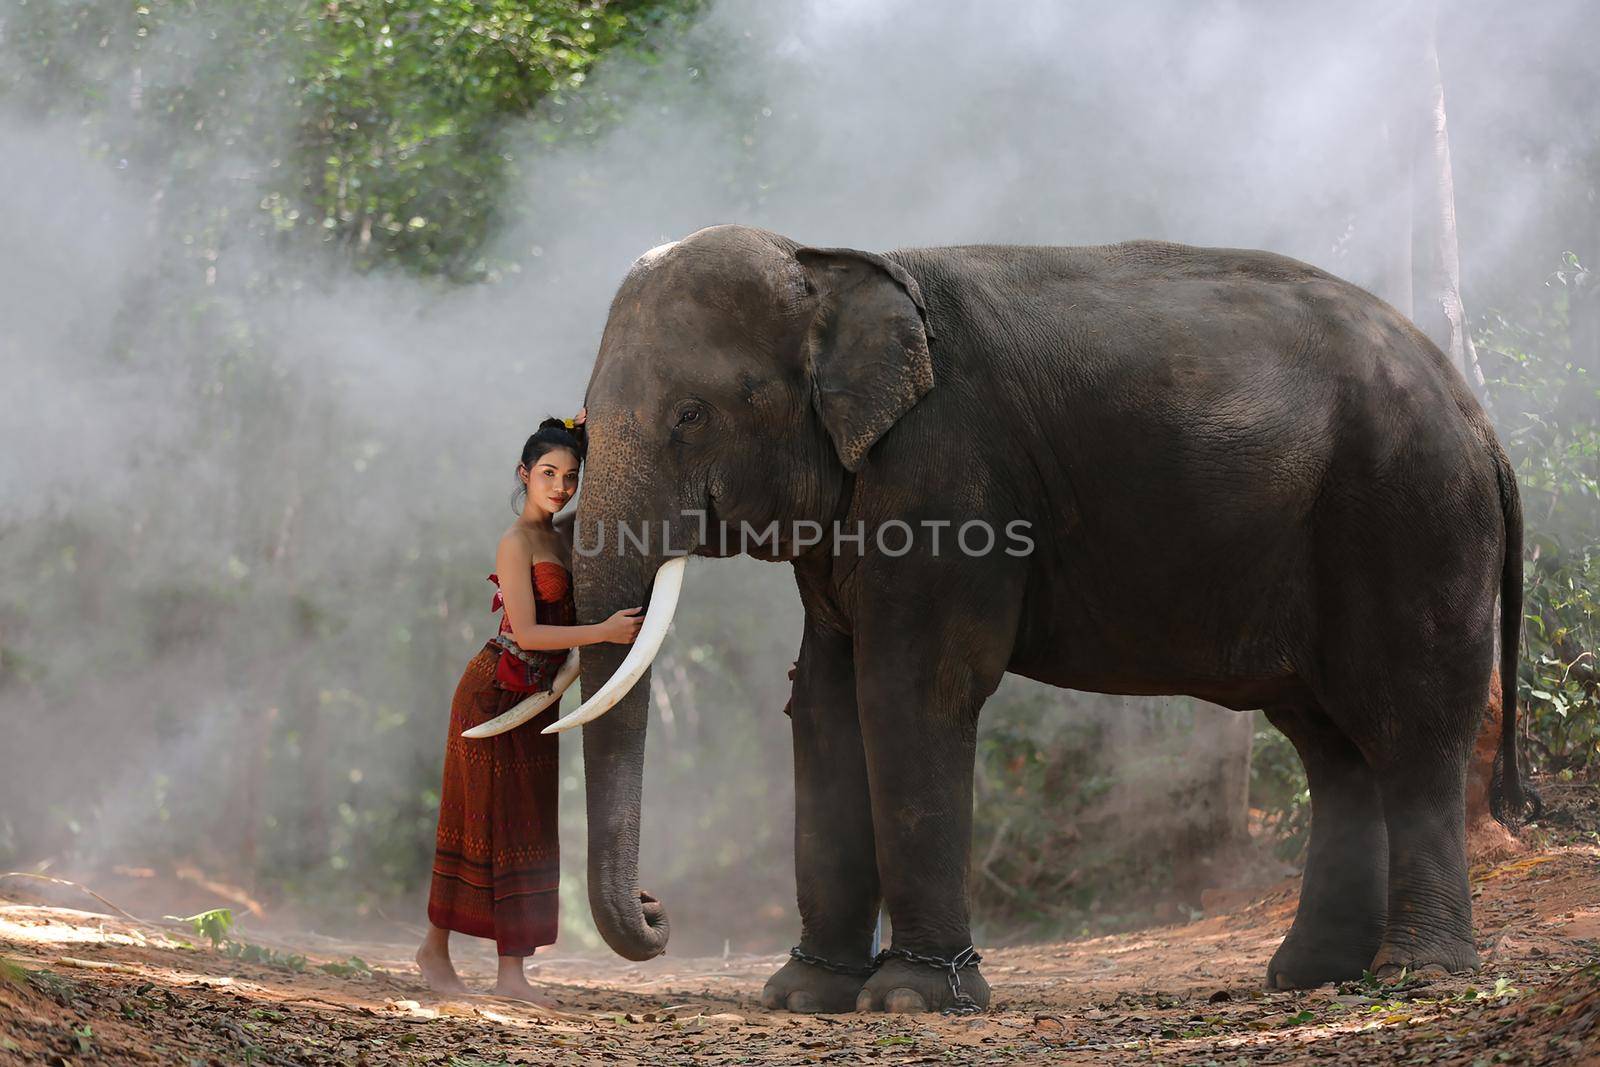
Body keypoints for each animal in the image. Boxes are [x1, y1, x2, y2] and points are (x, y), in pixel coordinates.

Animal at [553, 227, 1536, 1017]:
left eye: (691, 415)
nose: (657, 909)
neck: (833, 262)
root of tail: (1485, 426)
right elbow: (826, 703)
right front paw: (804, 996)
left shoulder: (950, 477)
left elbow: (912, 690)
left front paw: (911, 1000)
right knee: (1330, 744)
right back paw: (1316, 976)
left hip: (1411, 517)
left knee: (1408, 728)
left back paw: (1417, 975)